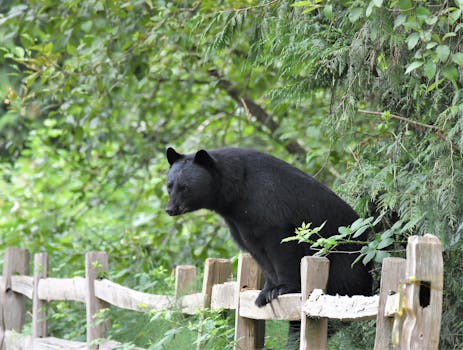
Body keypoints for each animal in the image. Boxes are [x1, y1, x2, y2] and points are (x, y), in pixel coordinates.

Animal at [166, 147, 374, 342]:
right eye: (169, 186)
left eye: (185, 187)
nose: (170, 209)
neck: (235, 194)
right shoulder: (240, 224)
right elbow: (258, 254)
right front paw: (265, 292)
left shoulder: (269, 206)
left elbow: (281, 247)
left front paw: (281, 288)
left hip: (345, 267)